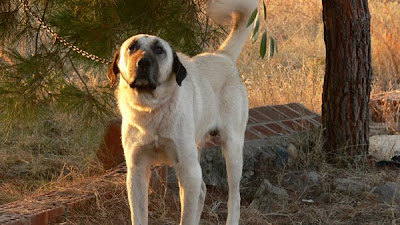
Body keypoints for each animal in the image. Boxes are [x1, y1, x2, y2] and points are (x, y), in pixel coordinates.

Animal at [106, 0, 256, 223]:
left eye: (159, 50)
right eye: (132, 47)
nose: (143, 62)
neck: (152, 109)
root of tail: (222, 55)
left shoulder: (188, 169)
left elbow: (187, 216)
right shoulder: (137, 171)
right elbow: (139, 215)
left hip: (232, 149)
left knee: (234, 196)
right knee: (202, 190)